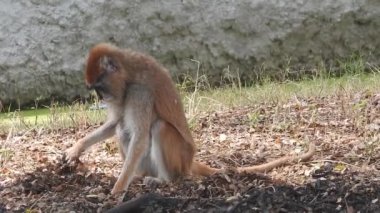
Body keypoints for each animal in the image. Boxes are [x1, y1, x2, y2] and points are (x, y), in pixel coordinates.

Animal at [64, 43, 314, 195]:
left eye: (100, 87)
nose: (101, 98)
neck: (129, 71)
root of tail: (189, 161)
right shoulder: (123, 94)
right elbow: (115, 123)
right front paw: (76, 149)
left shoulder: (139, 93)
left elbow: (141, 137)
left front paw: (118, 189)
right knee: (122, 130)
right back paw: (140, 175)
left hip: (179, 157)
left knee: (159, 128)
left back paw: (164, 180)